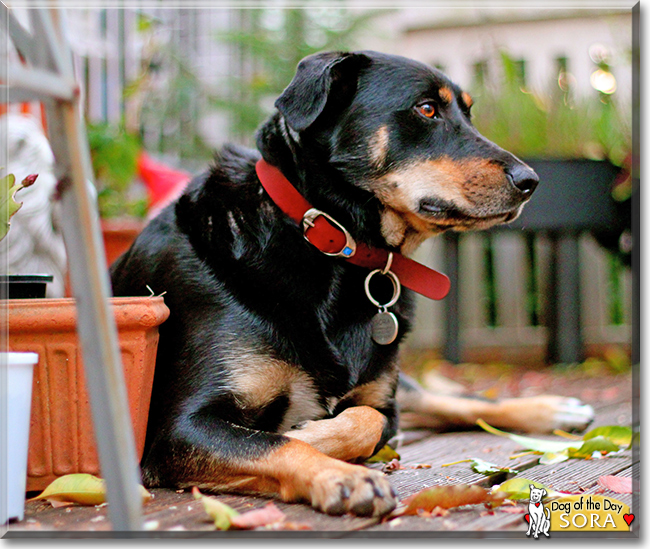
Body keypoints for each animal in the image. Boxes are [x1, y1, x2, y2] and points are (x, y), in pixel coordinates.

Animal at [111, 49, 592, 516]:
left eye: (469, 114)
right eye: (427, 109)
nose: (530, 181)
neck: (328, 245)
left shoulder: (381, 402)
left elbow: (369, 419)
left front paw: (311, 434)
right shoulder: (179, 428)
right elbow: (275, 442)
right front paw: (339, 474)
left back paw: (555, 408)